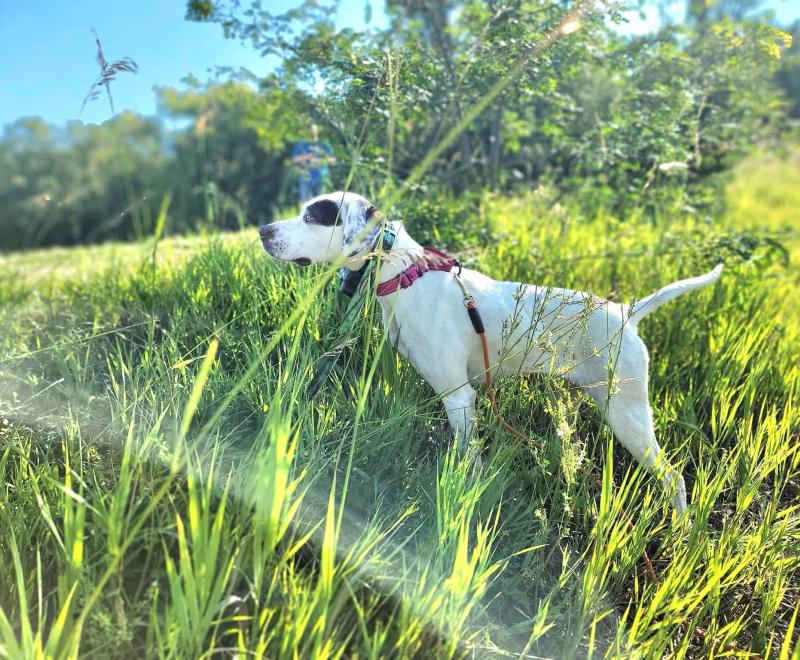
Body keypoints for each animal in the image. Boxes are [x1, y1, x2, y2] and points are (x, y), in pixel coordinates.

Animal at [262, 188, 724, 512]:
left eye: (313, 216)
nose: (263, 231)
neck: (406, 272)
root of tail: (627, 312)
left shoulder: (458, 397)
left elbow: (469, 461)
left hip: (628, 414)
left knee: (675, 479)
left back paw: (681, 531)